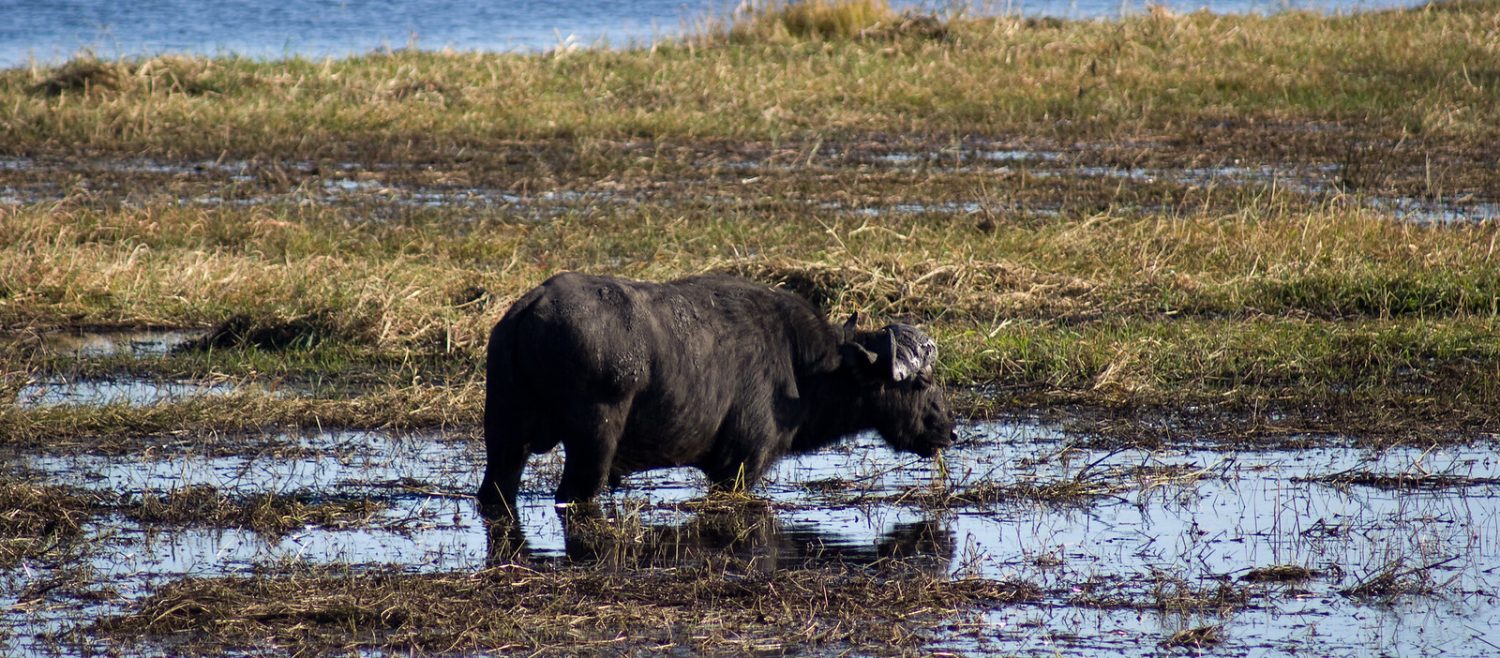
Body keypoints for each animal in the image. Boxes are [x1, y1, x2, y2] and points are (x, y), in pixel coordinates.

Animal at [476, 273, 955, 515]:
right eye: (920, 382)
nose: (949, 430)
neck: (801, 366)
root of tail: (531, 308)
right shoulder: (739, 464)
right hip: (592, 445)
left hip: (504, 437)